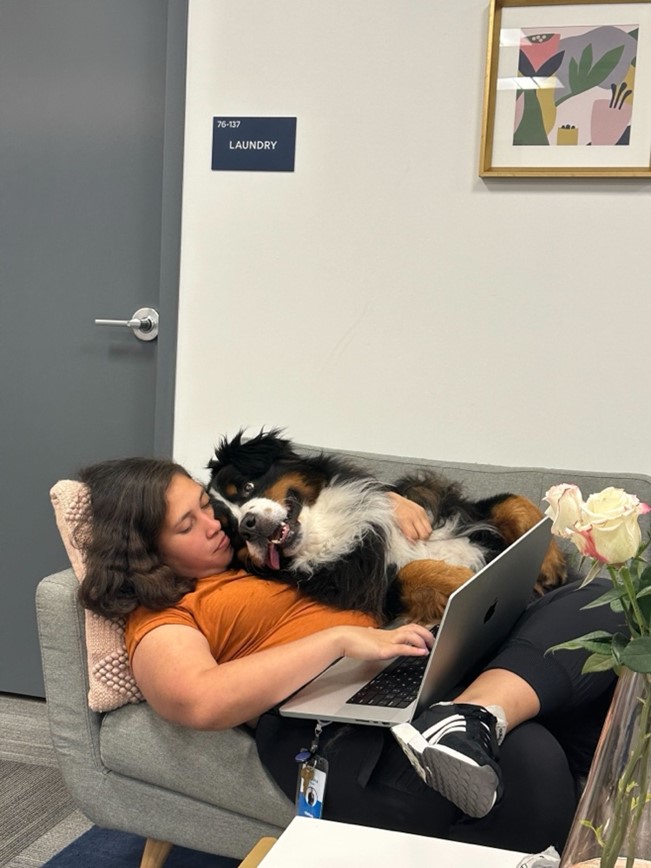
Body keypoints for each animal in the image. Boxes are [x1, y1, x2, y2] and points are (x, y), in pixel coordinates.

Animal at [208, 432, 564, 624]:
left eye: (247, 486)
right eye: (231, 532)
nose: (248, 525)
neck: (329, 528)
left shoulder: (456, 513)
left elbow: (513, 501)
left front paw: (549, 562)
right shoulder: (379, 591)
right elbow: (412, 572)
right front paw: (467, 578)